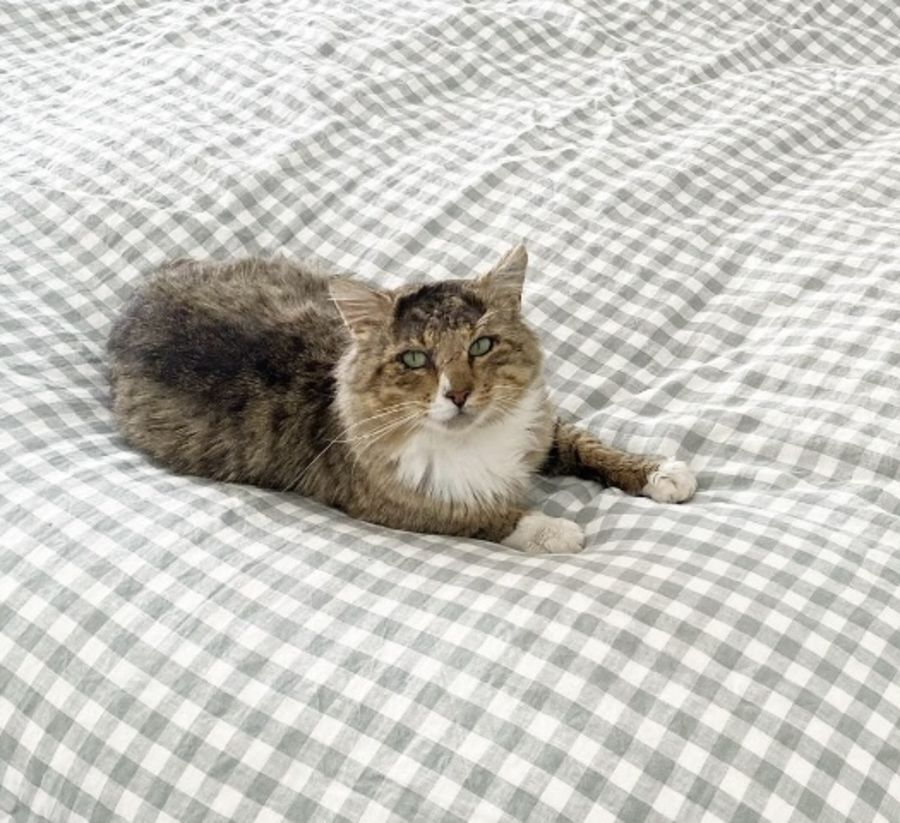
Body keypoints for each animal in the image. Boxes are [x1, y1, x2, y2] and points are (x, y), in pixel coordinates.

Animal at [107, 244, 696, 553]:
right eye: (415, 359)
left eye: (481, 346)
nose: (458, 393)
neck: (470, 441)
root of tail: (143, 295)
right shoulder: (398, 504)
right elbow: (487, 515)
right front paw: (554, 529)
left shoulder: (539, 426)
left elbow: (587, 446)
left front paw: (660, 472)